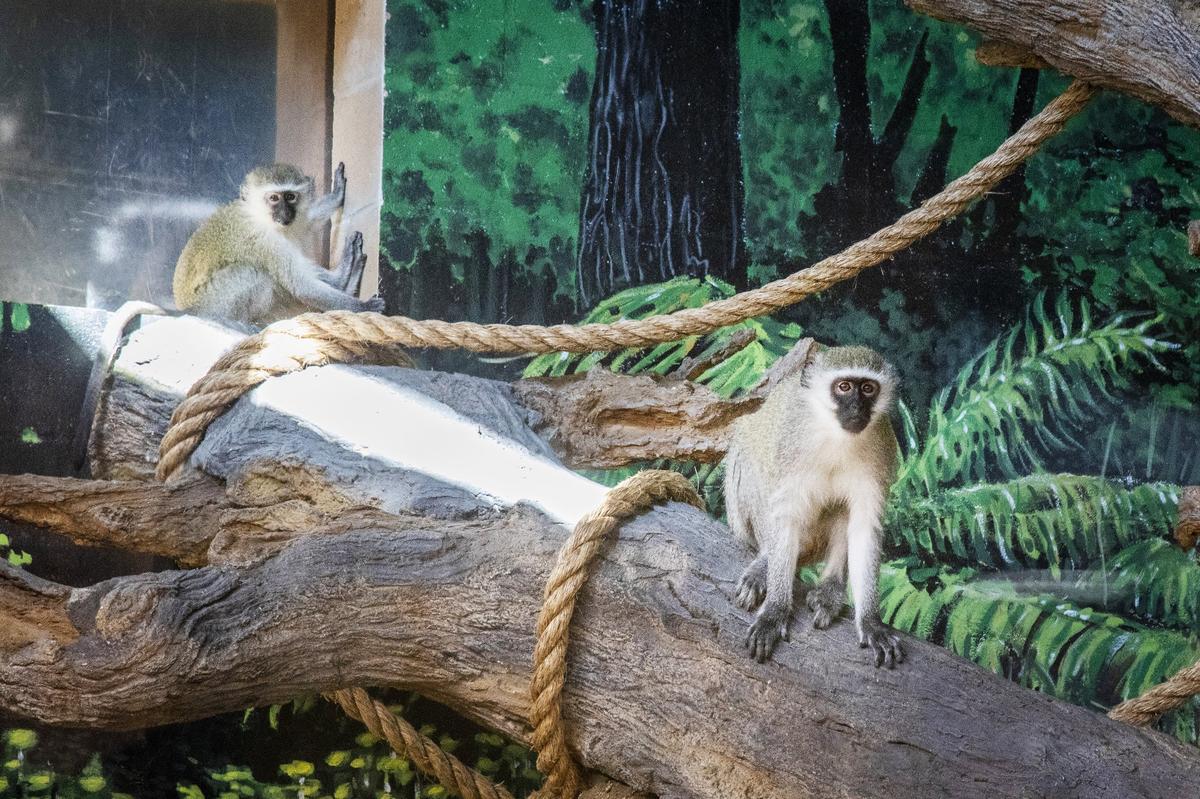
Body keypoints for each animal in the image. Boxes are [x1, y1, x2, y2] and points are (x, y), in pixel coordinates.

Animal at [172, 162, 383, 326]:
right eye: (274, 198)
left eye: (290, 197)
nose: (285, 213)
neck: (258, 216)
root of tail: (185, 309)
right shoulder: (264, 240)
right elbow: (301, 285)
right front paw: (362, 306)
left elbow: (307, 219)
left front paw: (336, 195)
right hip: (212, 304)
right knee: (254, 273)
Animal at [723, 345, 905, 667]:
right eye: (844, 387)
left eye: (868, 389)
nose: (857, 409)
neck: (835, 435)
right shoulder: (790, 448)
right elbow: (786, 515)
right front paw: (774, 613)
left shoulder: (881, 449)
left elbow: (864, 527)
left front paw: (871, 622)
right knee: (747, 453)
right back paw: (765, 563)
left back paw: (831, 588)